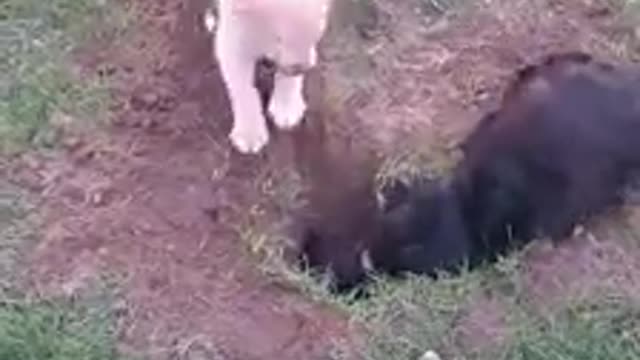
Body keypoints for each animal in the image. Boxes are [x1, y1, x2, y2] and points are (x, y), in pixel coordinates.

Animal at [209, 0, 332, 153]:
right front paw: (250, 133)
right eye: (276, 38)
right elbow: (242, 88)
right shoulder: (232, 32)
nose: (301, 68)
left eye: (313, 32)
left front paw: (286, 107)